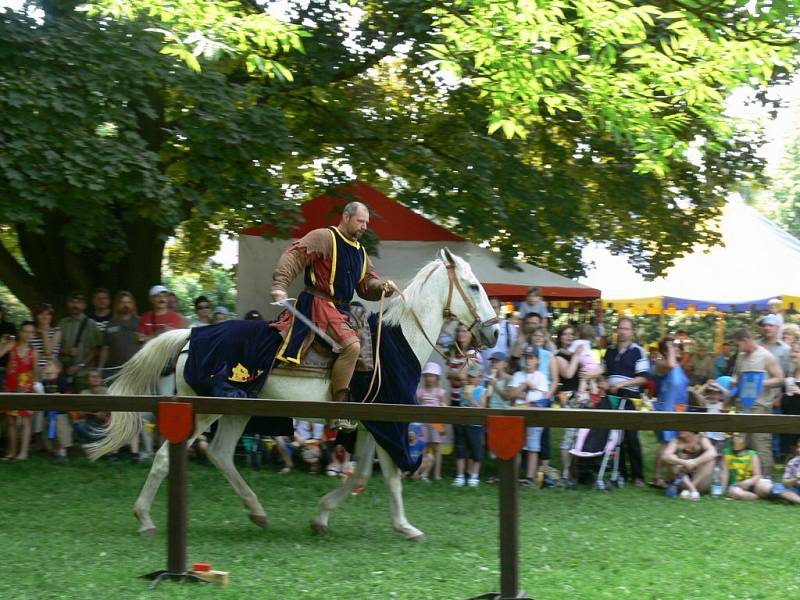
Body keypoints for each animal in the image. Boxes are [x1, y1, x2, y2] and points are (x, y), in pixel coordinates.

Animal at [89, 247, 500, 540]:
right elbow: (391, 475)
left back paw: (257, 512)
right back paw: (144, 518)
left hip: (237, 409)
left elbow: (361, 474)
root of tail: (192, 333)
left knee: (221, 454)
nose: (495, 332)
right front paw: (406, 527)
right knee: (164, 457)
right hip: (203, 410)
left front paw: (322, 516)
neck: (399, 340)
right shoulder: (386, 421)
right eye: (475, 286)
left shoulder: (373, 421)